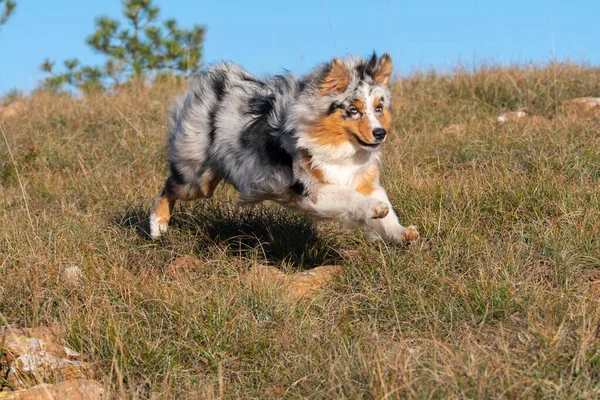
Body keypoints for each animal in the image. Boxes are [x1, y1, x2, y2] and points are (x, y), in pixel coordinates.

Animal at [150, 52, 420, 244]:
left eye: (378, 108)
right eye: (353, 110)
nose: (380, 133)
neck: (343, 149)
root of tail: (218, 78)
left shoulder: (366, 182)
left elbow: (386, 212)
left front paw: (401, 233)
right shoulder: (313, 189)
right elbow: (350, 197)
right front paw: (374, 208)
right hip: (197, 178)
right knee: (169, 186)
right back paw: (157, 226)